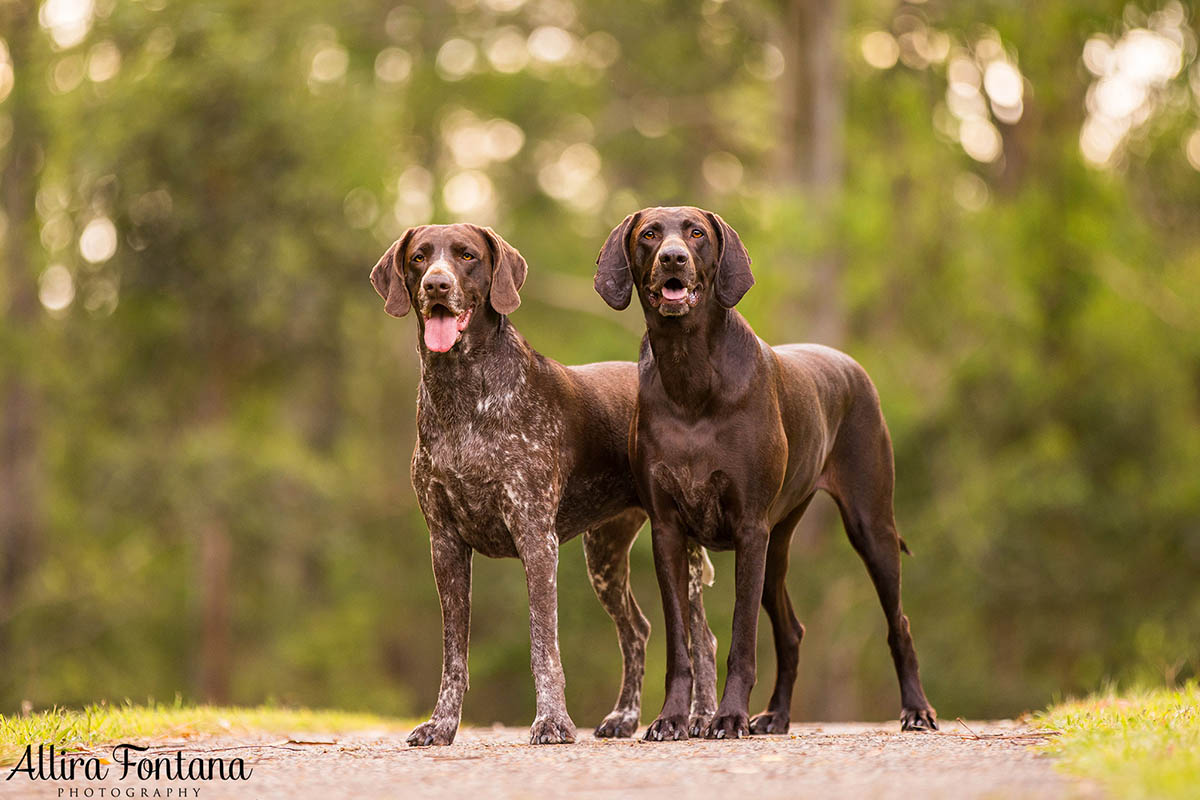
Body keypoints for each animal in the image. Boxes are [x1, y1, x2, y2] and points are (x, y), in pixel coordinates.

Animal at [369, 224, 720, 743]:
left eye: (467, 256)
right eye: (419, 258)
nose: (436, 285)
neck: (462, 392)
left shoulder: (536, 538)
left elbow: (543, 645)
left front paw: (552, 720)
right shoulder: (445, 544)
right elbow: (454, 655)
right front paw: (442, 724)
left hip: (681, 555)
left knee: (702, 637)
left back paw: (702, 716)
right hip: (604, 556)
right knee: (636, 631)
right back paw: (625, 716)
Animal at [597, 206, 936, 738]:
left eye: (696, 232)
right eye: (649, 234)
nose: (673, 258)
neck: (689, 372)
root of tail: (852, 365)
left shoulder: (749, 529)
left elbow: (741, 639)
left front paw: (728, 716)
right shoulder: (668, 532)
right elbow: (680, 643)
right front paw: (671, 718)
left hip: (869, 526)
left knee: (897, 623)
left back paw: (917, 710)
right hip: (779, 545)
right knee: (791, 630)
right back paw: (776, 714)